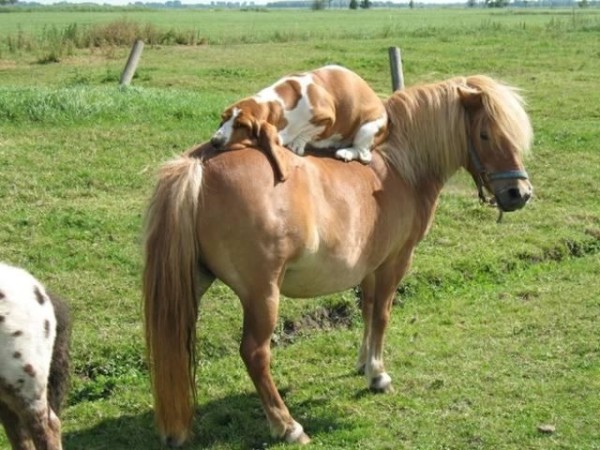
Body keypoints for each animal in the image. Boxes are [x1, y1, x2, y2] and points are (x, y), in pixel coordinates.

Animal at [211, 65, 390, 181]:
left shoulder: (327, 117)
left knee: (364, 155)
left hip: (367, 128)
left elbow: (307, 132)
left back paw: (345, 152)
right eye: (223, 118)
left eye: (242, 125)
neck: (278, 105)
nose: (214, 141)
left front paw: (297, 143)